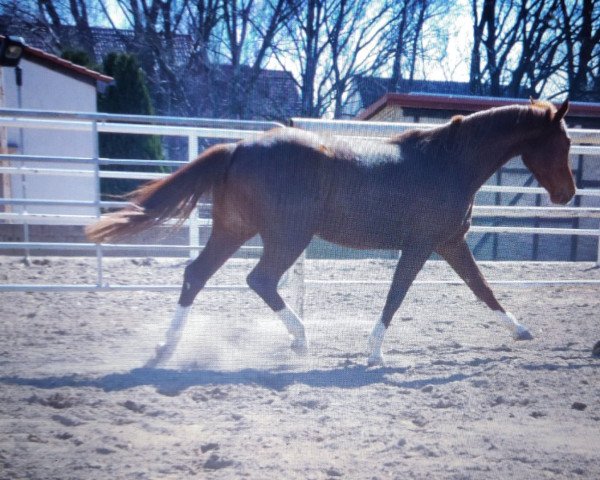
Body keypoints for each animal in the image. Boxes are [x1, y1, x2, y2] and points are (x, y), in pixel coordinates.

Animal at [86, 98, 576, 368]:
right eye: (566, 142)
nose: (568, 194)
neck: (449, 162)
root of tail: (238, 148)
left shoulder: (450, 243)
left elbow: (482, 287)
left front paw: (521, 331)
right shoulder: (421, 245)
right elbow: (397, 294)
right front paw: (374, 353)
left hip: (233, 230)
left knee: (195, 275)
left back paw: (167, 346)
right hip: (287, 236)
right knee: (259, 279)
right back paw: (301, 339)